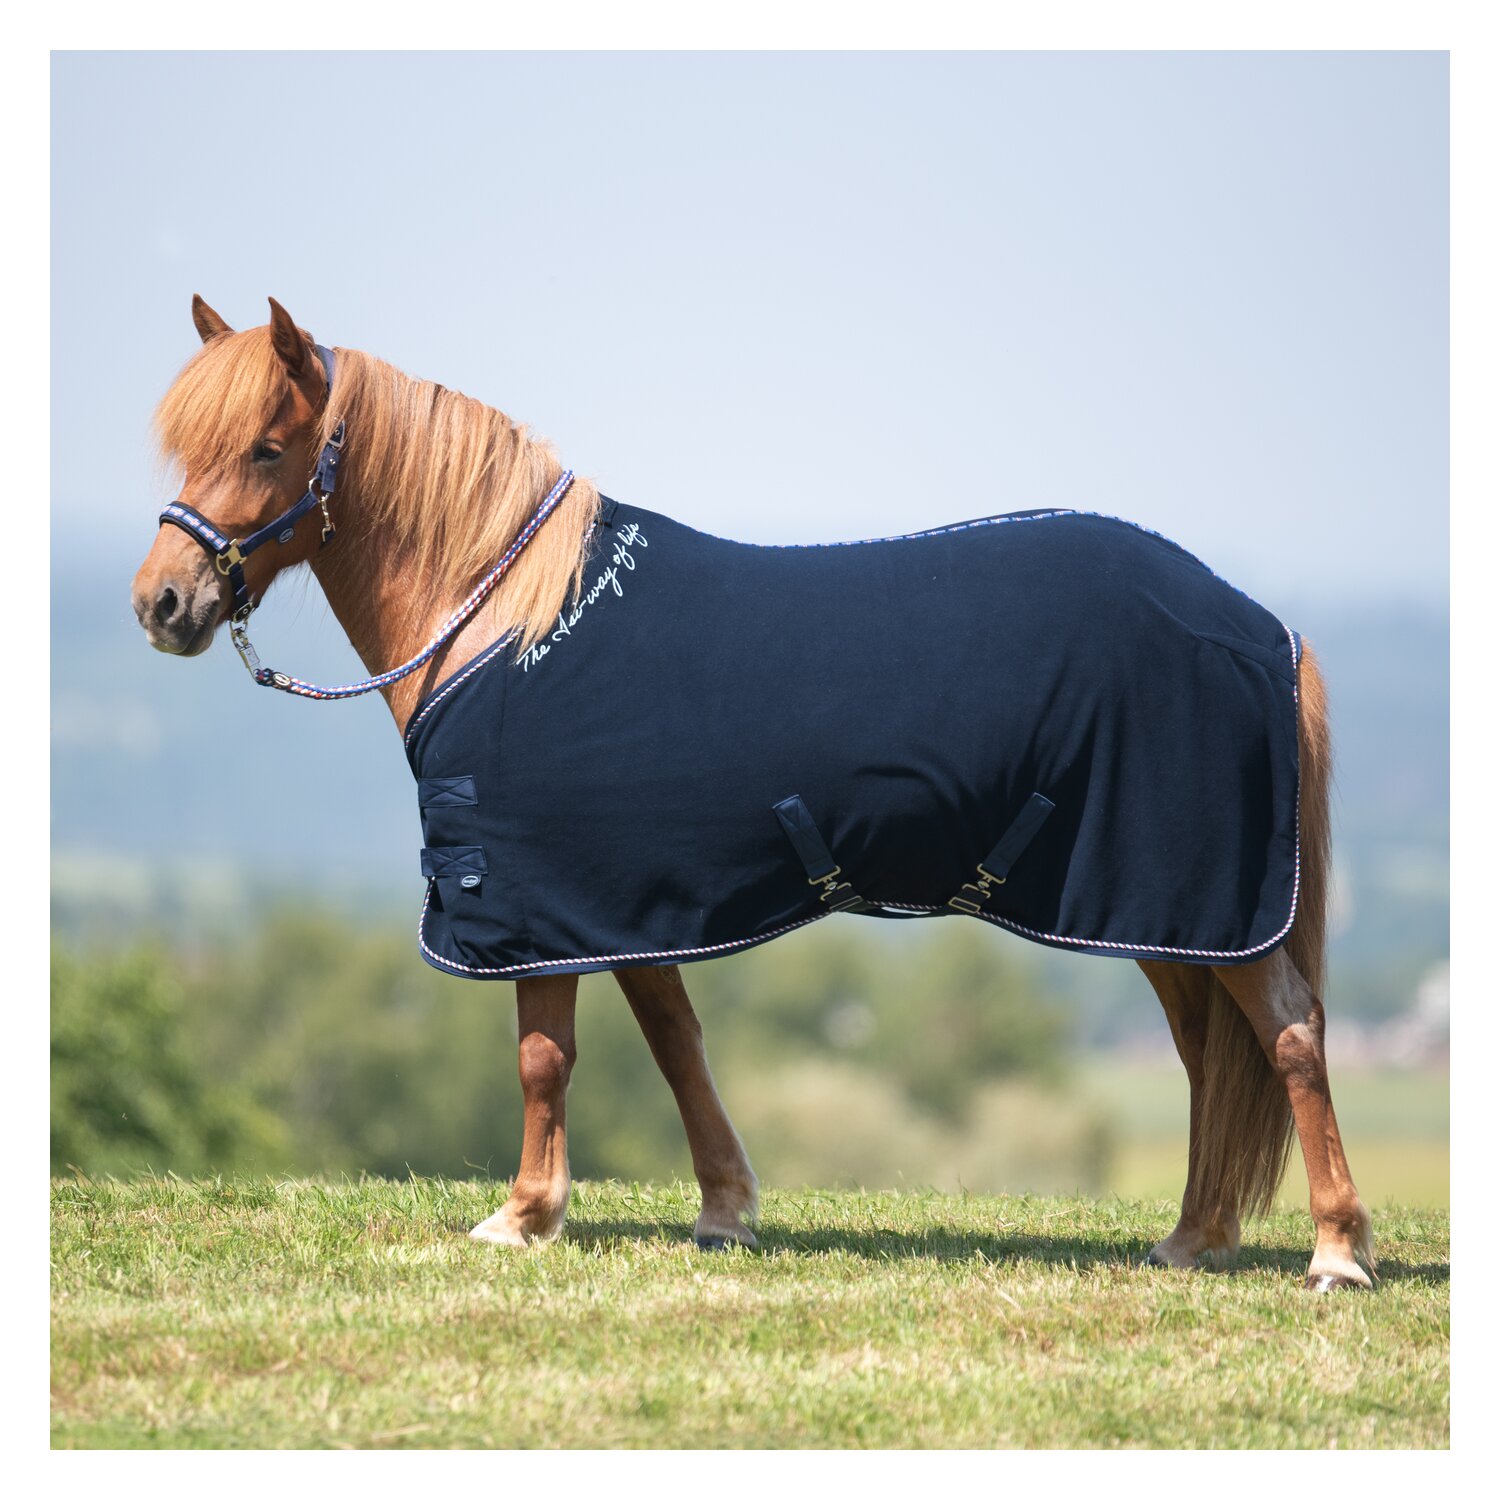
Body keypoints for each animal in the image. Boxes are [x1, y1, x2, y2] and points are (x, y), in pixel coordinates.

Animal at [129, 296, 1376, 1290]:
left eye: (268, 445)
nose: (163, 603)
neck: (508, 621)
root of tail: (1259, 625)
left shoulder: (532, 903)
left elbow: (544, 1057)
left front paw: (524, 1217)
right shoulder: (623, 903)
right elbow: (676, 1039)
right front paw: (725, 1211)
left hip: (1193, 897)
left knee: (1290, 1034)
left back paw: (1337, 1253)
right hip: (1164, 914)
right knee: (1212, 1055)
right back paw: (1191, 1237)